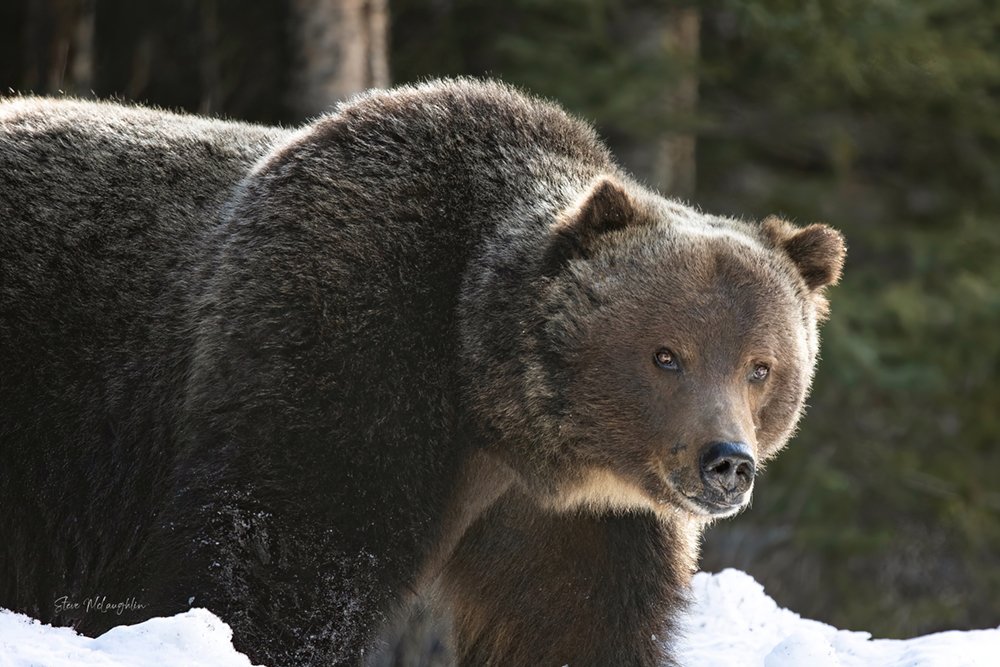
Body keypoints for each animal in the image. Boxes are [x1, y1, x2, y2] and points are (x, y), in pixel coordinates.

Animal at [0, 82, 844, 667]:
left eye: (762, 367)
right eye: (667, 354)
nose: (726, 461)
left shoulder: (572, 519)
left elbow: (574, 623)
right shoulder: (341, 347)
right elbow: (280, 565)